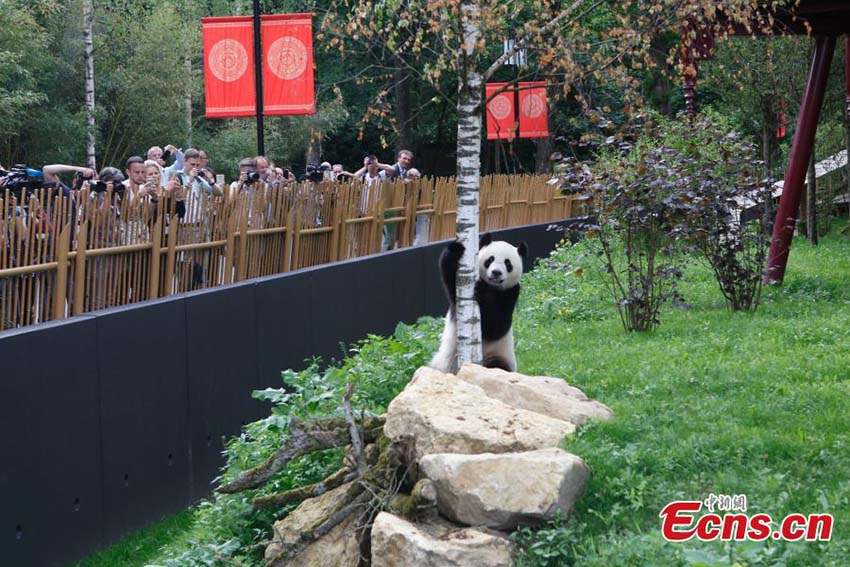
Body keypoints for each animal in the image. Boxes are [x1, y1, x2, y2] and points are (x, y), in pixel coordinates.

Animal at [430, 233, 524, 374]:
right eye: (490, 259)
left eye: (508, 263)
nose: (496, 272)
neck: (492, 287)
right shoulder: (456, 293)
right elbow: (450, 278)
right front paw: (455, 250)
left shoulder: (511, 293)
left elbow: (497, 327)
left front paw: (483, 292)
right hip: (441, 364)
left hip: (499, 355)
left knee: (497, 366)